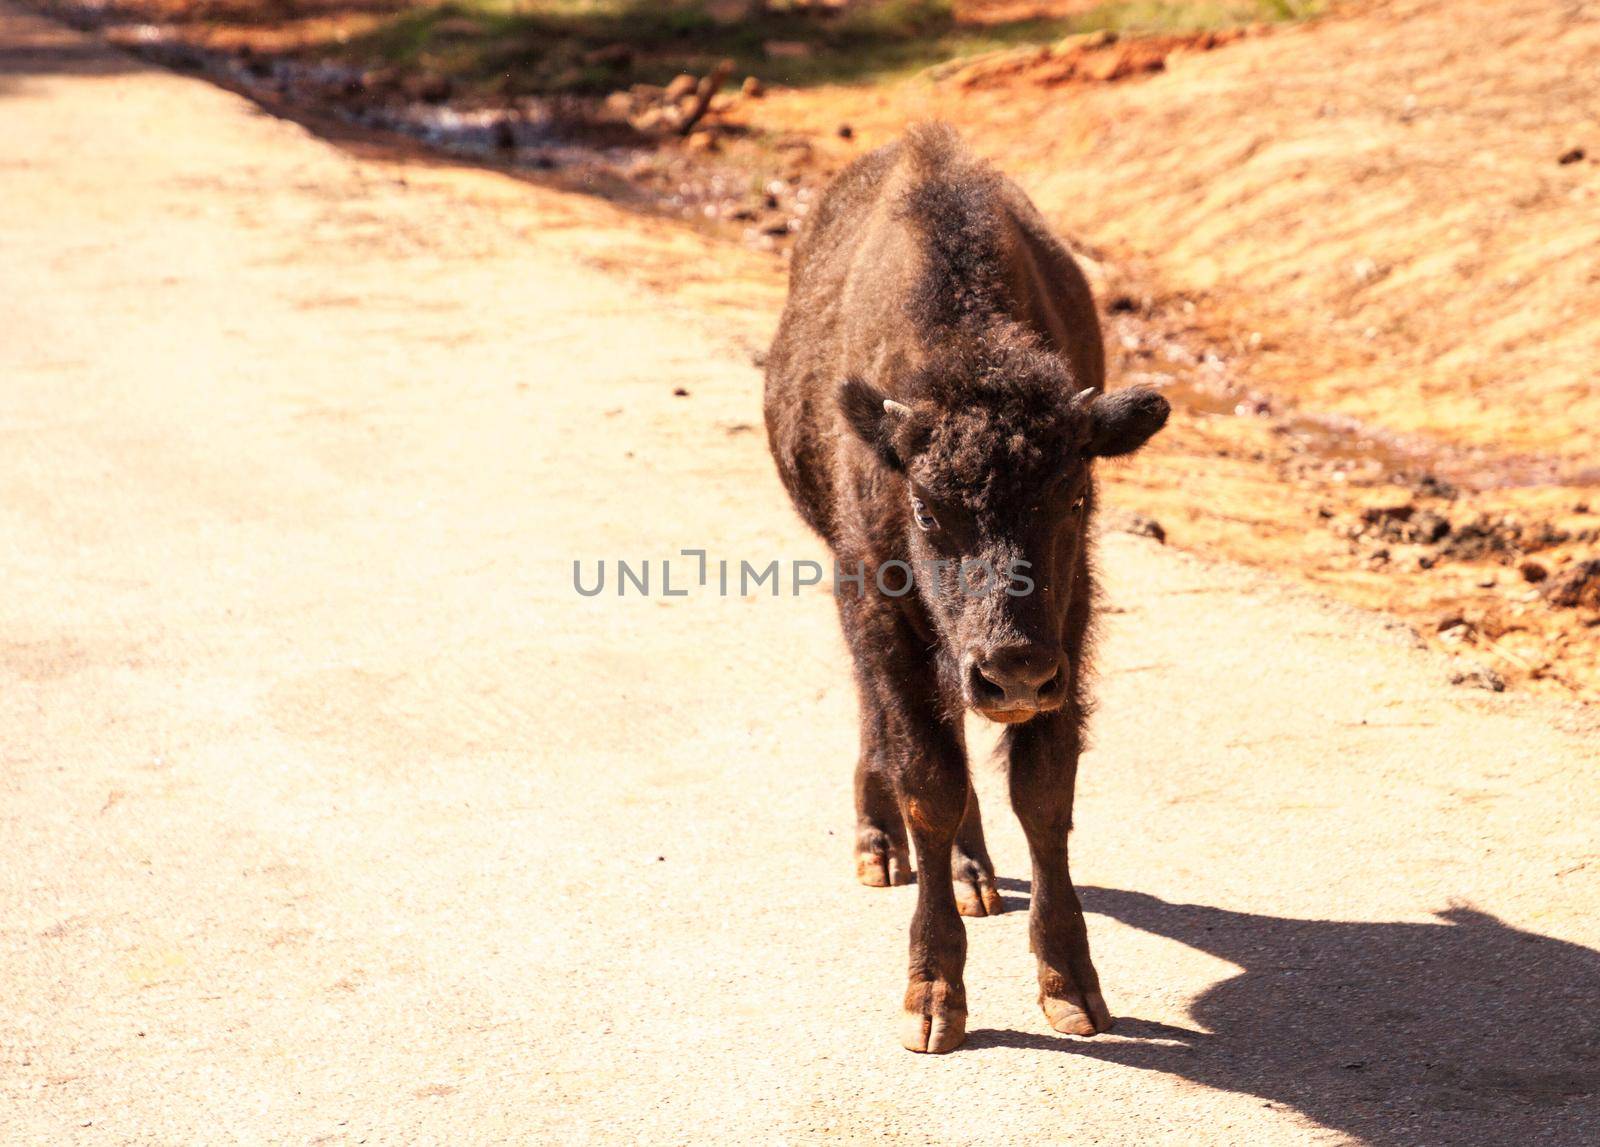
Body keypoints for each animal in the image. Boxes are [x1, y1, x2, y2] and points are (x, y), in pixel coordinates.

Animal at [761, 123, 1164, 1049]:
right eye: (924, 505)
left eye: (1075, 495)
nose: (1012, 671)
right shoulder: (880, 606)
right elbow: (929, 784)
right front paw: (934, 996)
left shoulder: (1067, 627)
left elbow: (1044, 794)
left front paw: (1071, 986)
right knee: (887, 726)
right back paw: (880, 845)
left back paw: (979, 875)